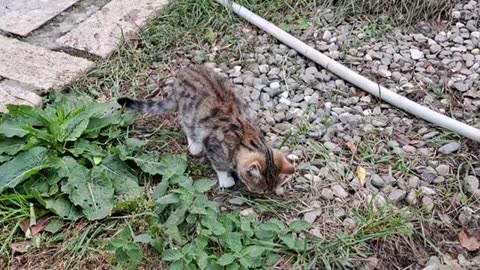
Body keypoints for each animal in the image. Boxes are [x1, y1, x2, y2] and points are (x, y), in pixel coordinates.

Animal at [118, 66, 294, 196]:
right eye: (261, 190)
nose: (264, 195)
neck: (246, 137)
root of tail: (183, 73)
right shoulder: (215, 146)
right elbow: (220, 167)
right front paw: (226, 180)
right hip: (189, 114)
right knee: (188, 126)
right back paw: (195, 146)